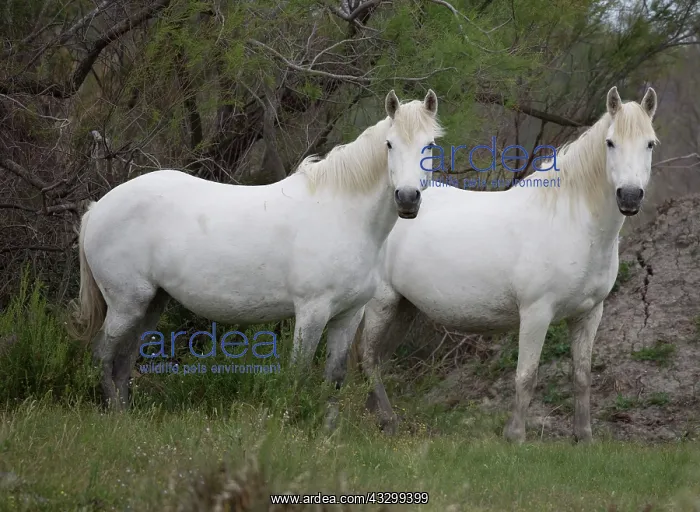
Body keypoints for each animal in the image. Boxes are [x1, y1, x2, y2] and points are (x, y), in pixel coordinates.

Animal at [68, 89, 445, 411]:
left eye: (429, 146)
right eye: (389, 144)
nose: (407, 198)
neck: (344, 214)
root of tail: (97, 208)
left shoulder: (349, 315)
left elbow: (334, 379)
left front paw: (328, 433)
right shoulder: (312, 311)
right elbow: (296, 375)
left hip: (150, 303)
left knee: (123, 360)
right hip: (126, 303)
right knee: (103, 354)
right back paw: (115, 415)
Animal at [350, 86, 658, 443]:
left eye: (650, 143)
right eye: (610, 143)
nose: (630, 196)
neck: (571, 221)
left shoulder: (589, 314)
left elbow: (582, 376)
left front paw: (583, 437)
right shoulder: (537, 313)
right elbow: (526, 375)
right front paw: (515, 436)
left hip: (404, 307)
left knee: (376, 358)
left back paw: (374, 418)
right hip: (382, 301)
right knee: (368, 357)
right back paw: (387, 420)